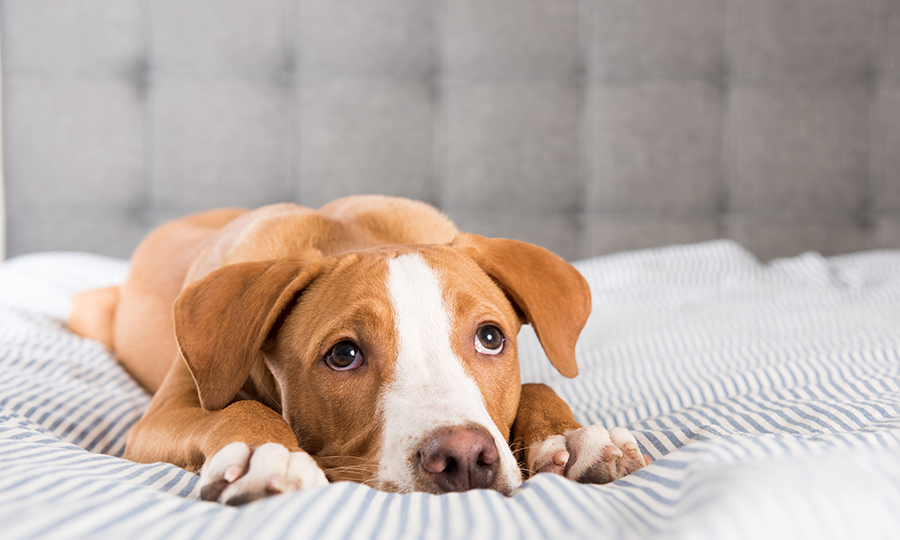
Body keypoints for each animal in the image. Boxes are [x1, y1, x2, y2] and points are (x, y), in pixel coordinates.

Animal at [70, 196, 648, 504]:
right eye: (343, 355)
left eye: (491, 338)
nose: (463, 457)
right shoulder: (161, 417)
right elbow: (236, 408)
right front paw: (266, 452)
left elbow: (537, 381)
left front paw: (571, 436)